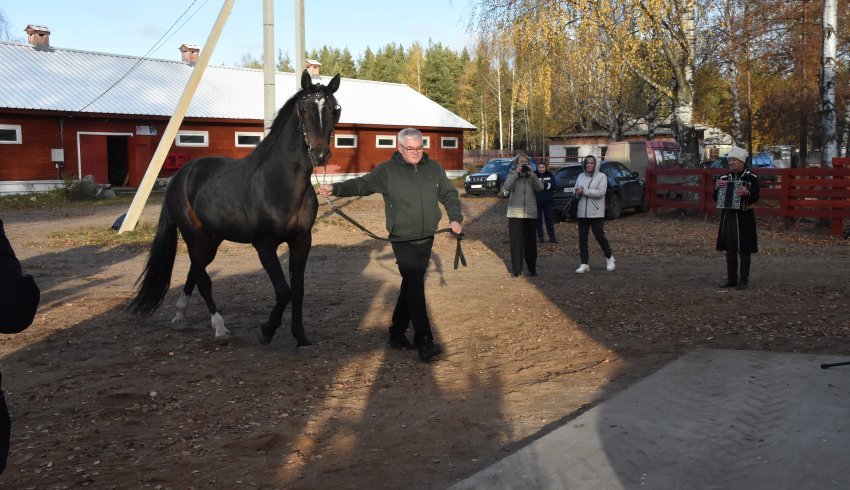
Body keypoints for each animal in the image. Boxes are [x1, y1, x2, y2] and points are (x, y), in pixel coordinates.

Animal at [127, 70, 340, 348]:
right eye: (304, 108)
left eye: (335, 109)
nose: (320, 154)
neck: (280, 183)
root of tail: (181, 175)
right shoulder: (264, 244)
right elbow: (283, 292)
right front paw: (266, 331)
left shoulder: (301, 241)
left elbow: (298, 291)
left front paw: (300, 336)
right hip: (195, 236)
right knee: (202, 278)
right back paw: (219, 327)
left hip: (212, 239)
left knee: (195, 271)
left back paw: (180, 316)